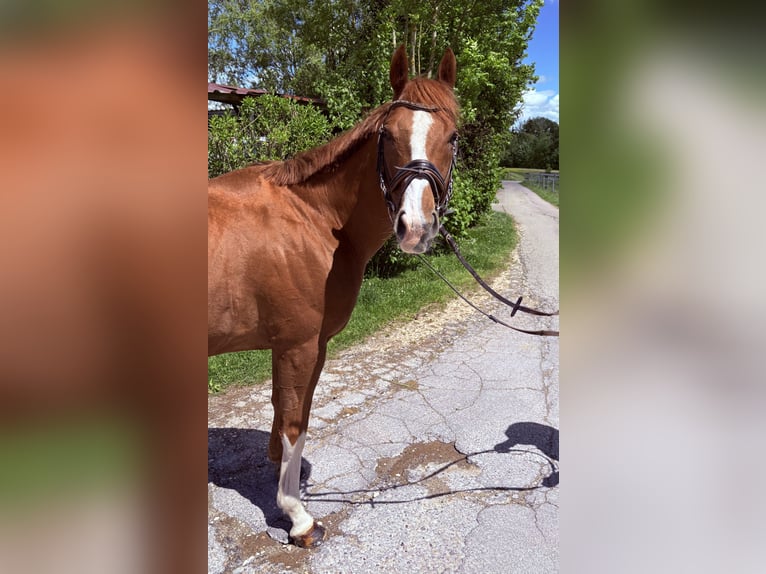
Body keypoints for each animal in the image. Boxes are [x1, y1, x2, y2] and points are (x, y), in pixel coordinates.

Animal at [208, 45, 459, 547]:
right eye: (388, 135)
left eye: (454, 137)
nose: (415, 228)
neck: (313, 219)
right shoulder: (297, 346)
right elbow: (292, 420)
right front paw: (297, 515)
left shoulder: (312, 346)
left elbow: (294, 415)